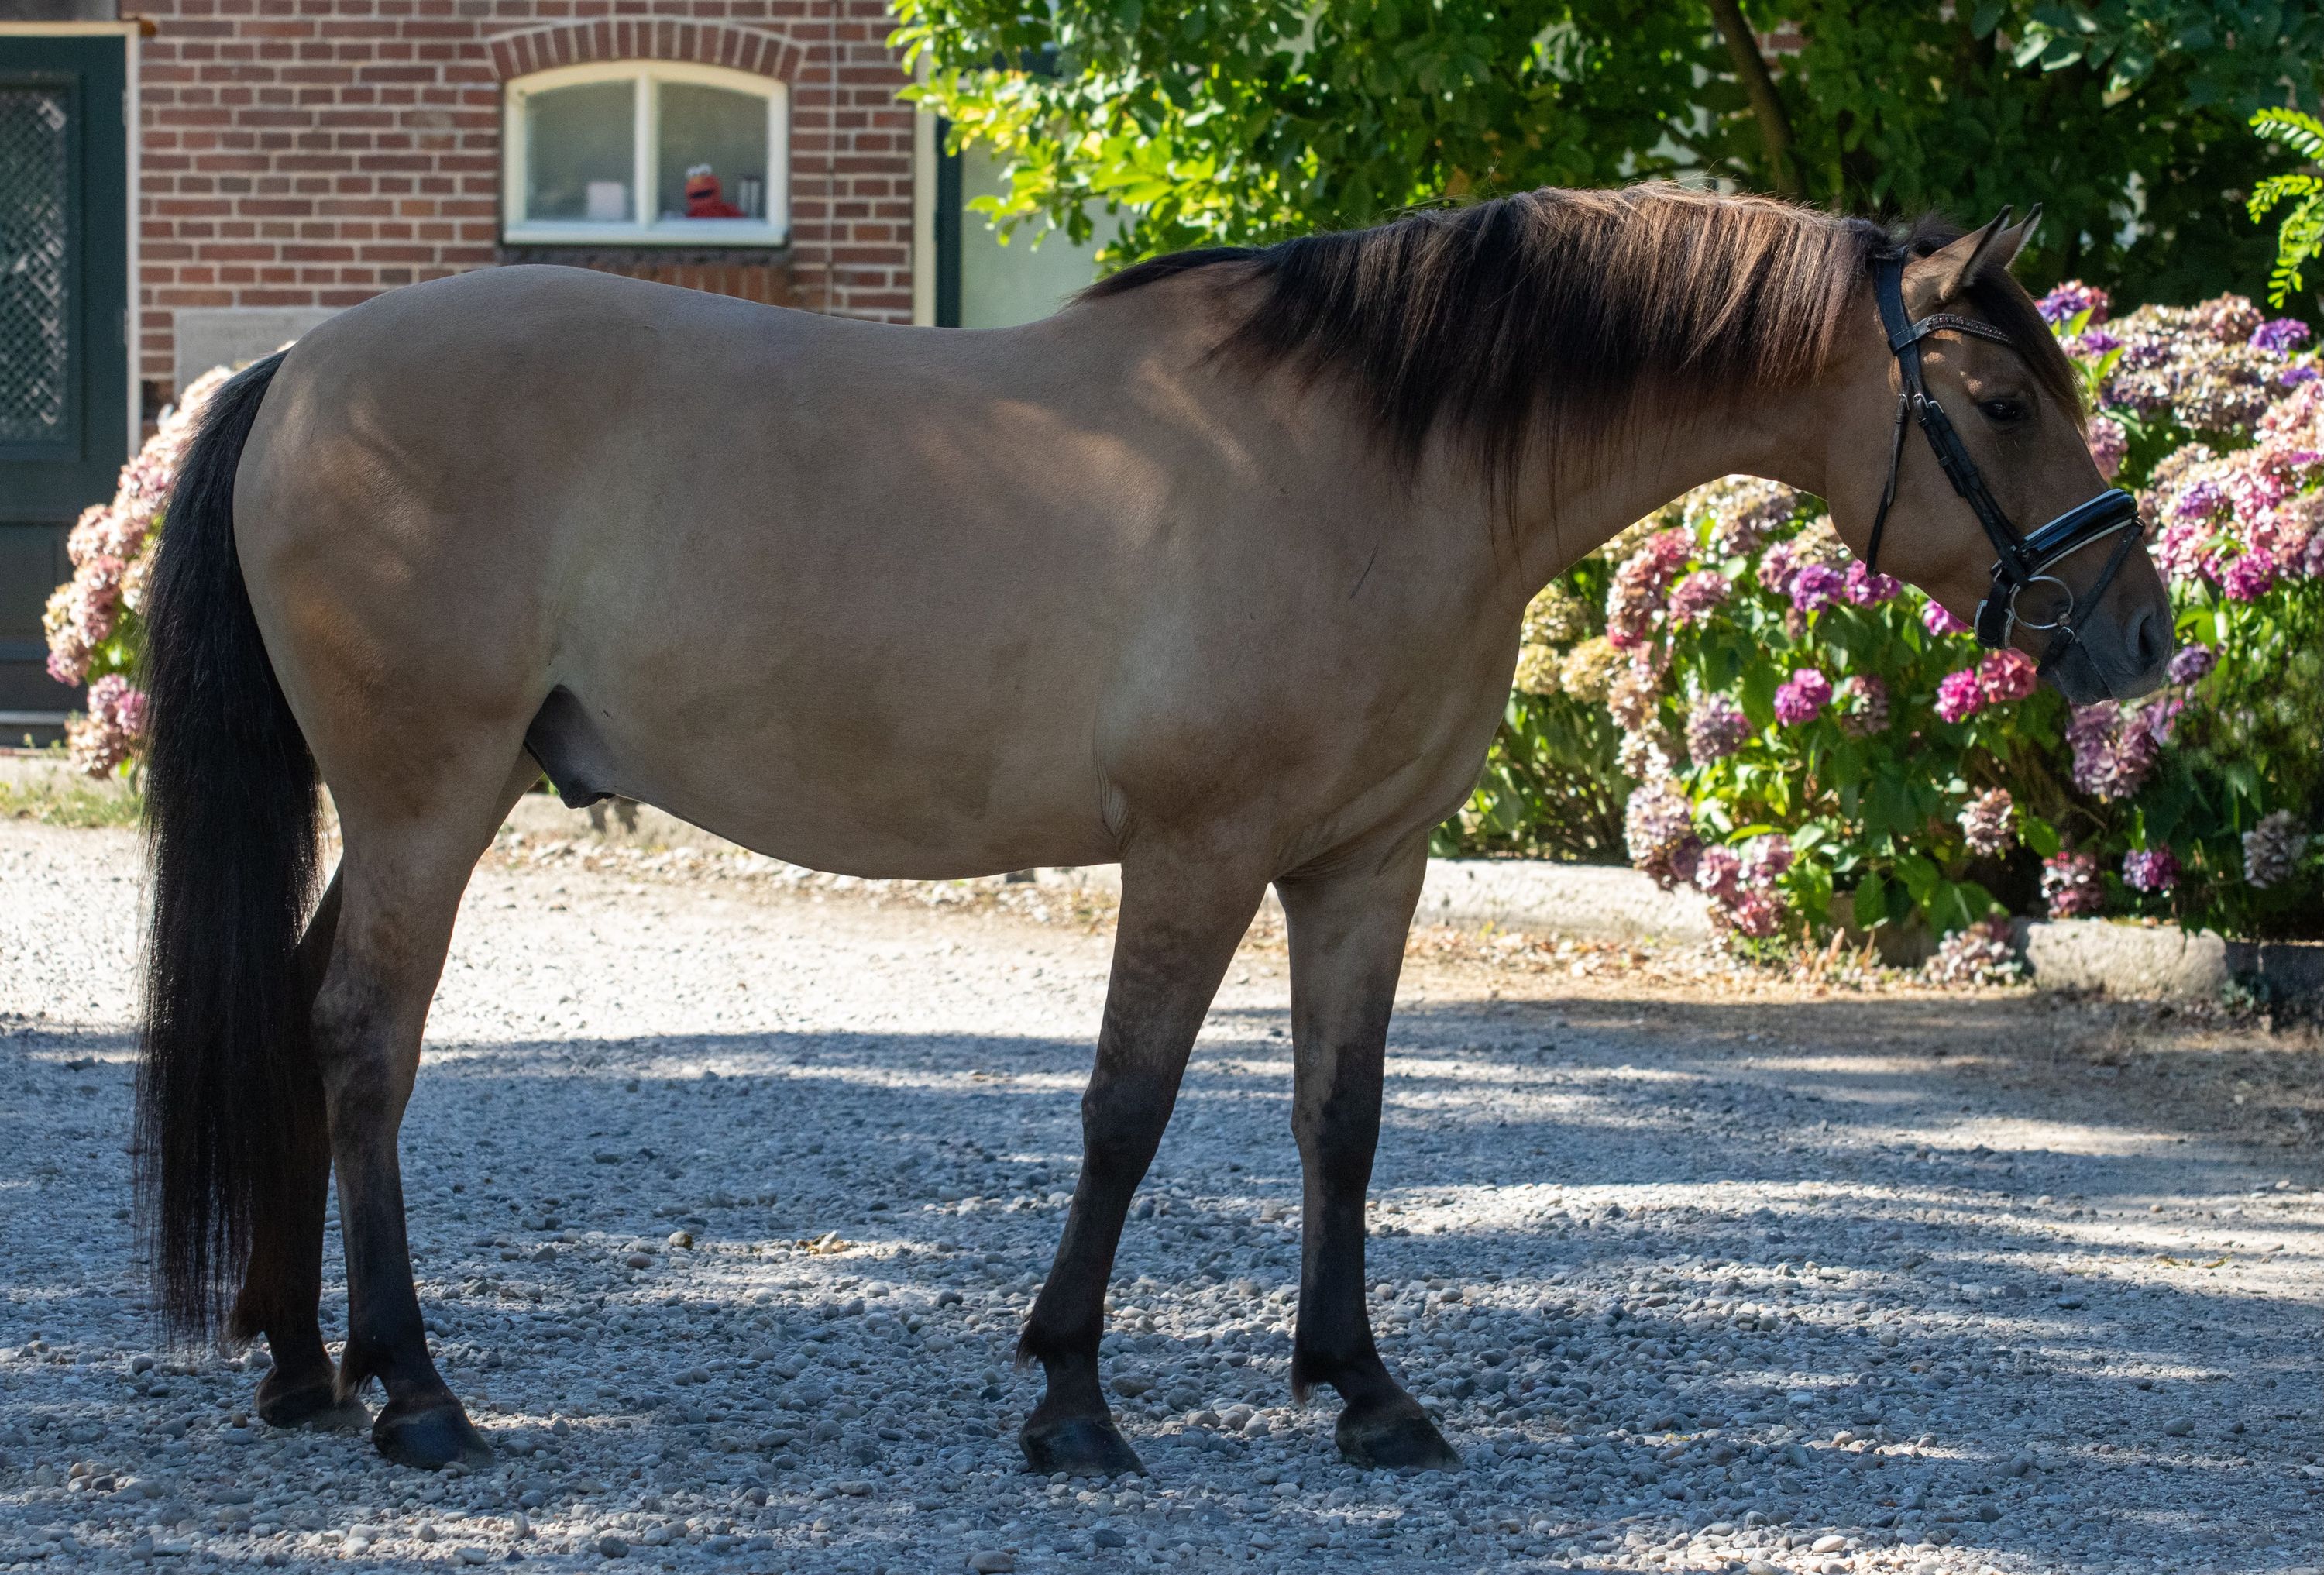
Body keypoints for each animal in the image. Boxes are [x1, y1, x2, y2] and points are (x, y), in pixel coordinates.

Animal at [132, 184, 2173, 1478]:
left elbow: (1341, 1119)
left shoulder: (1363, 863)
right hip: (427, 798)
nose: (2142, 635)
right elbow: (1128, 1106)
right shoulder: (1196, 852)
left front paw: (1364, 1391)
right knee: (362, 1042)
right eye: (1998, 397)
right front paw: (1071, 1397)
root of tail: (299, 370)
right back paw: (412, 1392)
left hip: (415, 803)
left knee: (302, 1024)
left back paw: (303, 1366)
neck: (1377, 454)